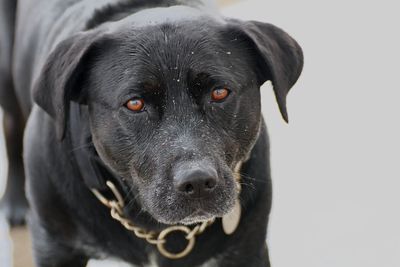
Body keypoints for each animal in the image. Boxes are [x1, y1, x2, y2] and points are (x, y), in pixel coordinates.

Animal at [0, 0, 300, 266]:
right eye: (135, 103)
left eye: (219, 92)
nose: (197, 182)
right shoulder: (56, 246)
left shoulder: (247, 250)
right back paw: (14, 203)